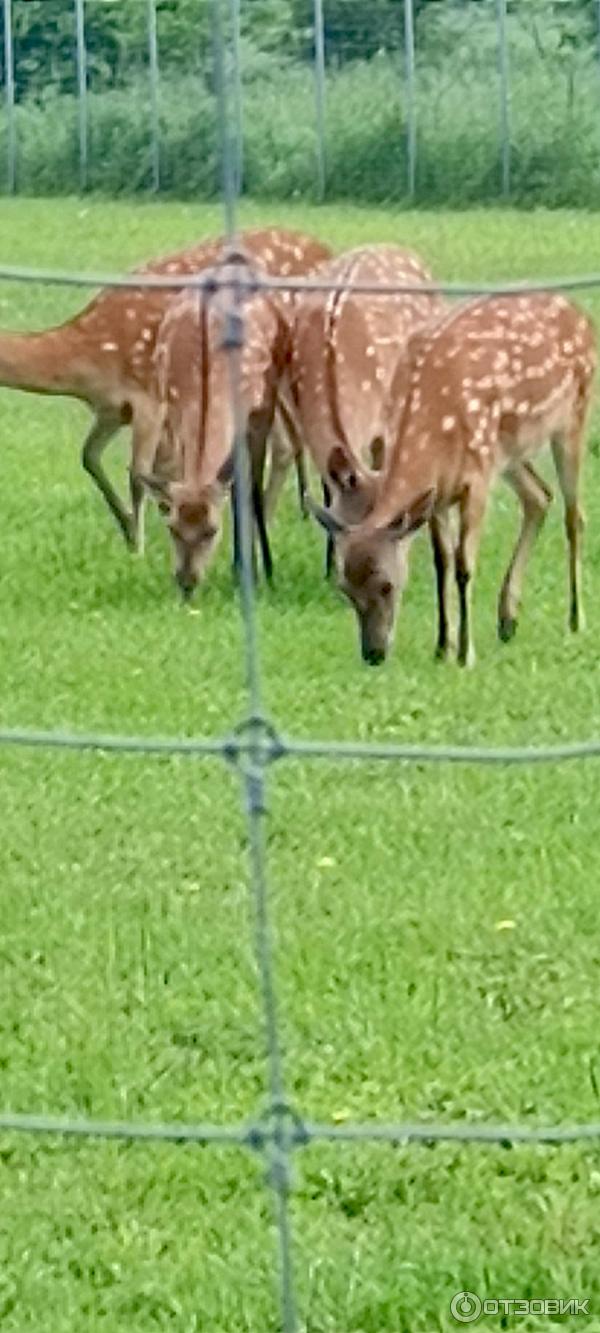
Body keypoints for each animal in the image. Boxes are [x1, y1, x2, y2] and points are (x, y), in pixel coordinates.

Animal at [0, 226, 330, 549]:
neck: (87, 355)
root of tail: (325, 252)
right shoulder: (110, 410)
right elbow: (90, 457)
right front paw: (131, 528)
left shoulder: (148, 396)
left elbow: (137, 473)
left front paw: (139, 546)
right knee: (285, 442)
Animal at [312, 291, 597, 666]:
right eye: (345, 587)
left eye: (387, 585)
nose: (373, 653)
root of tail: (580, 315)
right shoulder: (437, 492)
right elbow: (442, 562)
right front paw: (441, 647)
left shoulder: (475, 480)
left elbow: (464, 564)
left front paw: (465, 653)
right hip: (507, 451)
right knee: (539, 496)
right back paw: (508, 620)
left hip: (572, 415)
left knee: (574, 516)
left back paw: (575, 620)